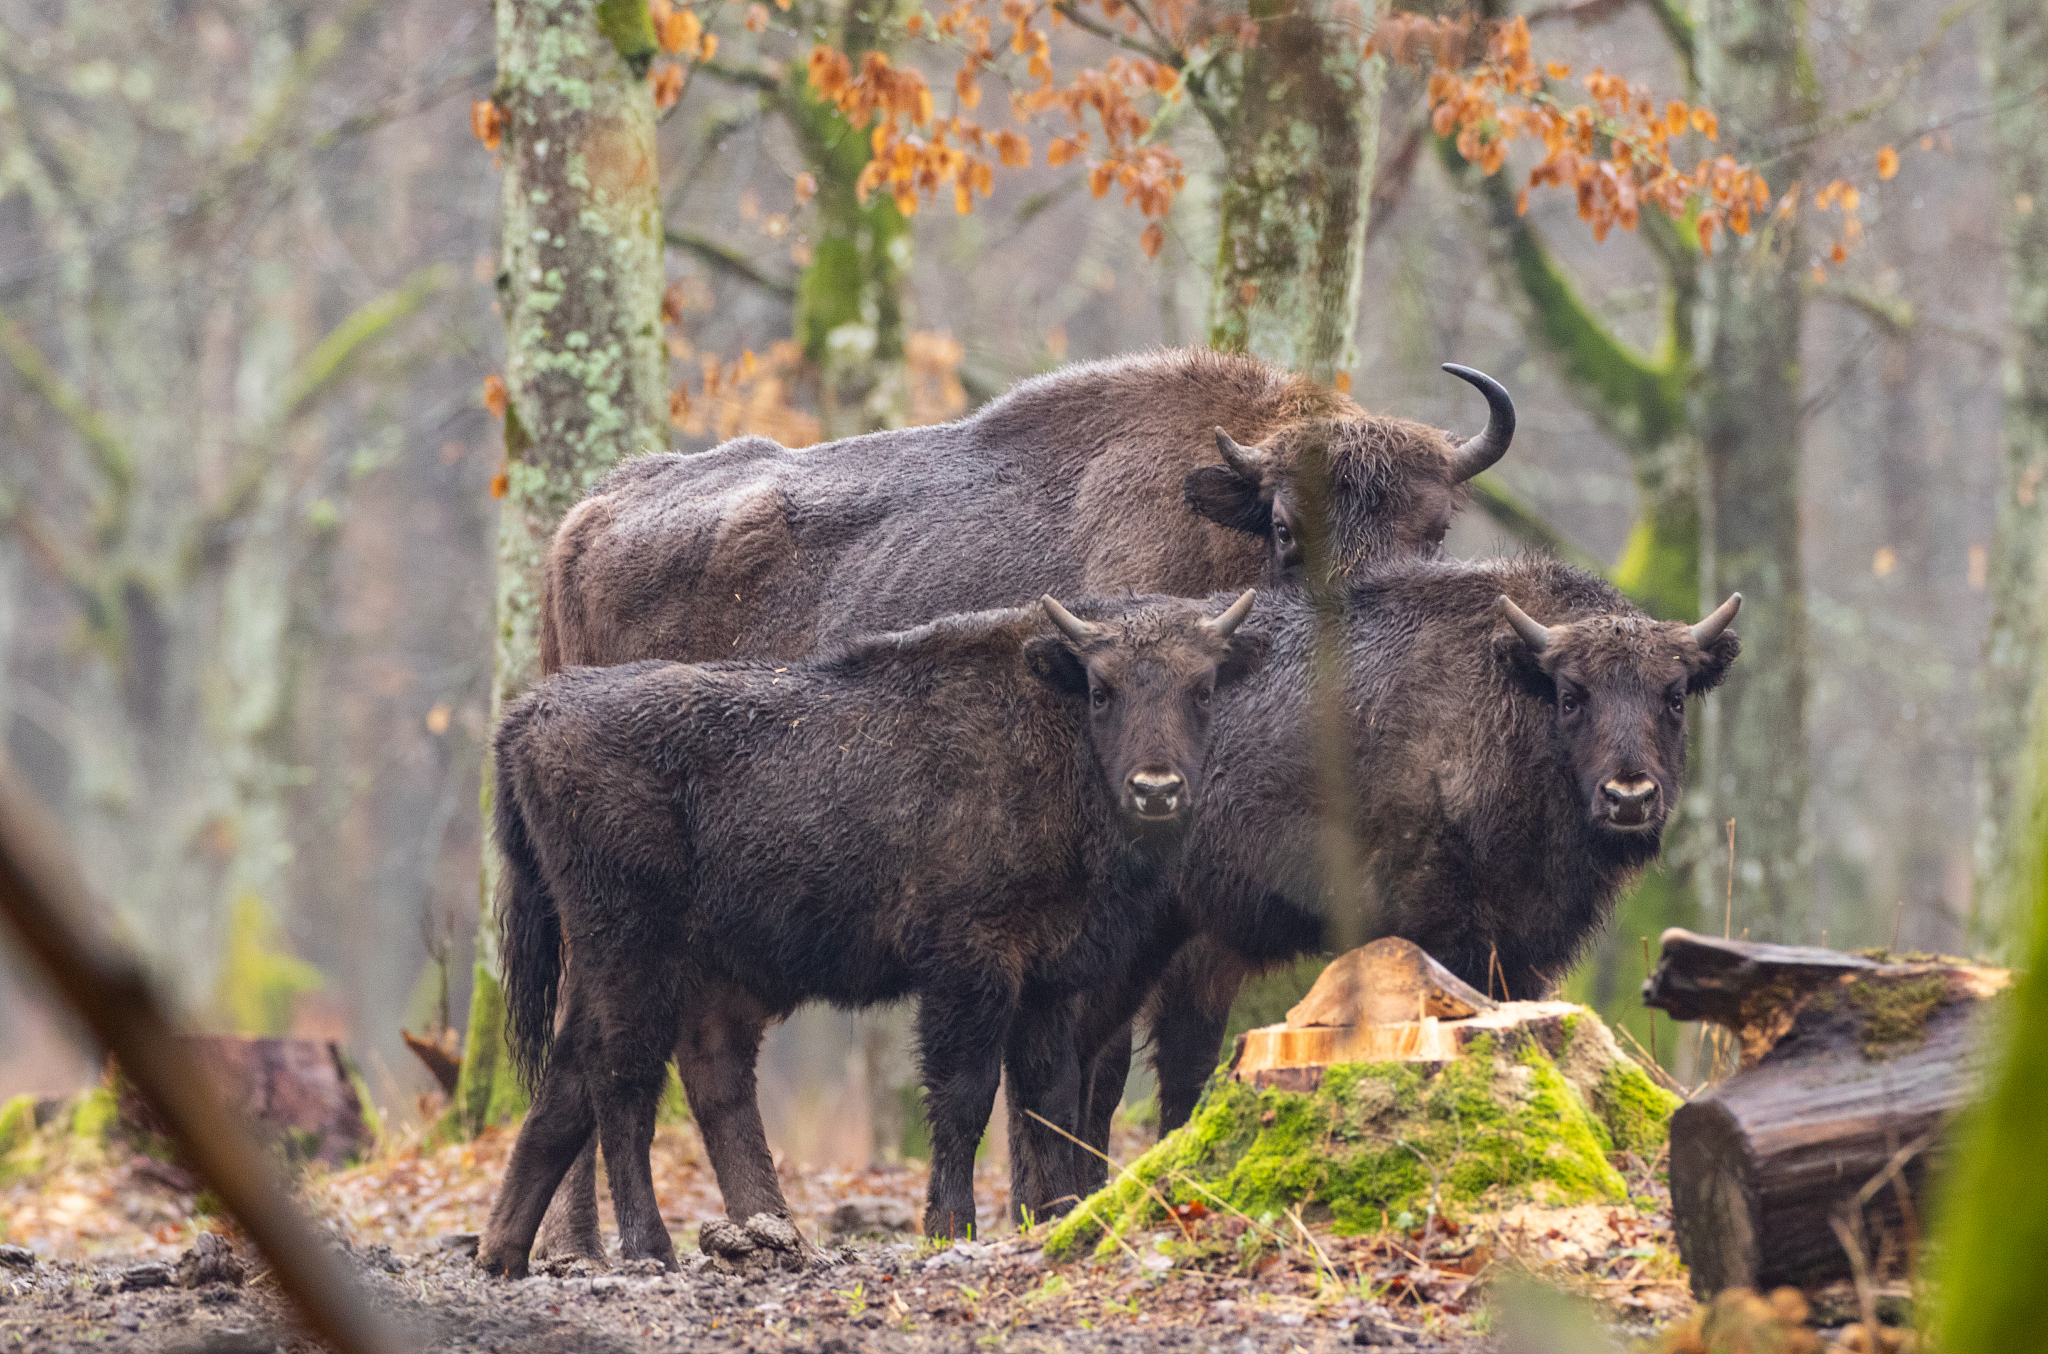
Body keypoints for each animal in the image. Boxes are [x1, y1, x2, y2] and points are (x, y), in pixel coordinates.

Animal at [474, 591, 1264, 1275]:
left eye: (1203, 689)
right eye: (1103, 690)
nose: (1157, 790)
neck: (1051, 728)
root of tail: (530, 716)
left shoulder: (1047, 978)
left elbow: (1050, 1100)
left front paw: (1057, 1217)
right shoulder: (969, 965)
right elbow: (966, 1094)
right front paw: (951, 1226)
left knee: (572, 1081)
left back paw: (505, 1251)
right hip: (631, 951)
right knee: (621, 1083)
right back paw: (650, 1249)